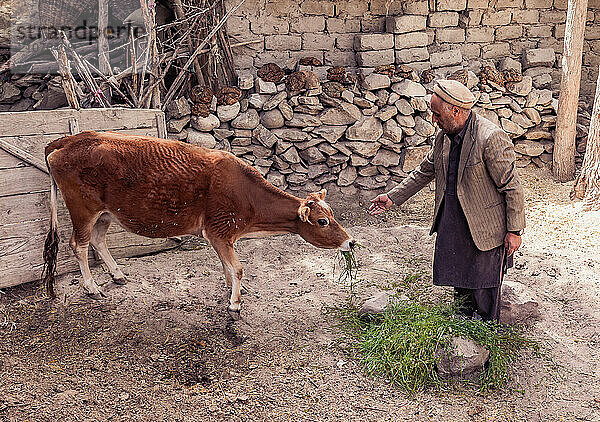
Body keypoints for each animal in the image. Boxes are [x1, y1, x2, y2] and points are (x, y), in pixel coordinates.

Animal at [42, 130, 354, 318]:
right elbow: (237, 268)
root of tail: (67, 140)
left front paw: (231, 290)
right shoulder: (219, 231)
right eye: (322, 221)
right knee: (78, 244)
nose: (351, 242)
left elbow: (227, 266)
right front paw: (235, 303)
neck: (247, 195)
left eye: (332, 214)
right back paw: (92, 288)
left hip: (106, 213)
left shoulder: (221, 235)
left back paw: (117, 275)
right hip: (83, 210)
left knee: (97, 240)